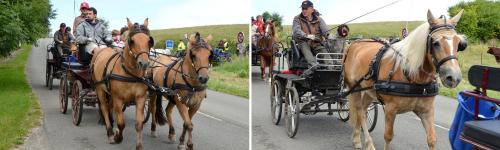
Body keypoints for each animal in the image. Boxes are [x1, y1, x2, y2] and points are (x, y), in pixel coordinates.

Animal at [90, 18, 152, 149]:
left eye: (149, 41)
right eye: (132, 41)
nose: (144, 64)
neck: (130, 73)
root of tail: (101, 49)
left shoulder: (140, 98)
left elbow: (139, 124)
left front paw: (139, 146)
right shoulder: (118, 98)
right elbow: (121, 124)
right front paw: (117, 137)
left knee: (109, 107)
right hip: (100, 89)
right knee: (104, 107)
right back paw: (109, 131)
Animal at [344, 9, 464, 150]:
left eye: (459, 44)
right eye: (436, 43)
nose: (454, 77)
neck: (414, 77)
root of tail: (354, 44)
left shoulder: (427, 111)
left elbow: (432, 139)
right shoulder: (390, 109)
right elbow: (388, 136)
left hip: (369, 91)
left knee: (362, 110)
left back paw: (357, 138)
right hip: (354, 87)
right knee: (360, 112)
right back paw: (367, 143)